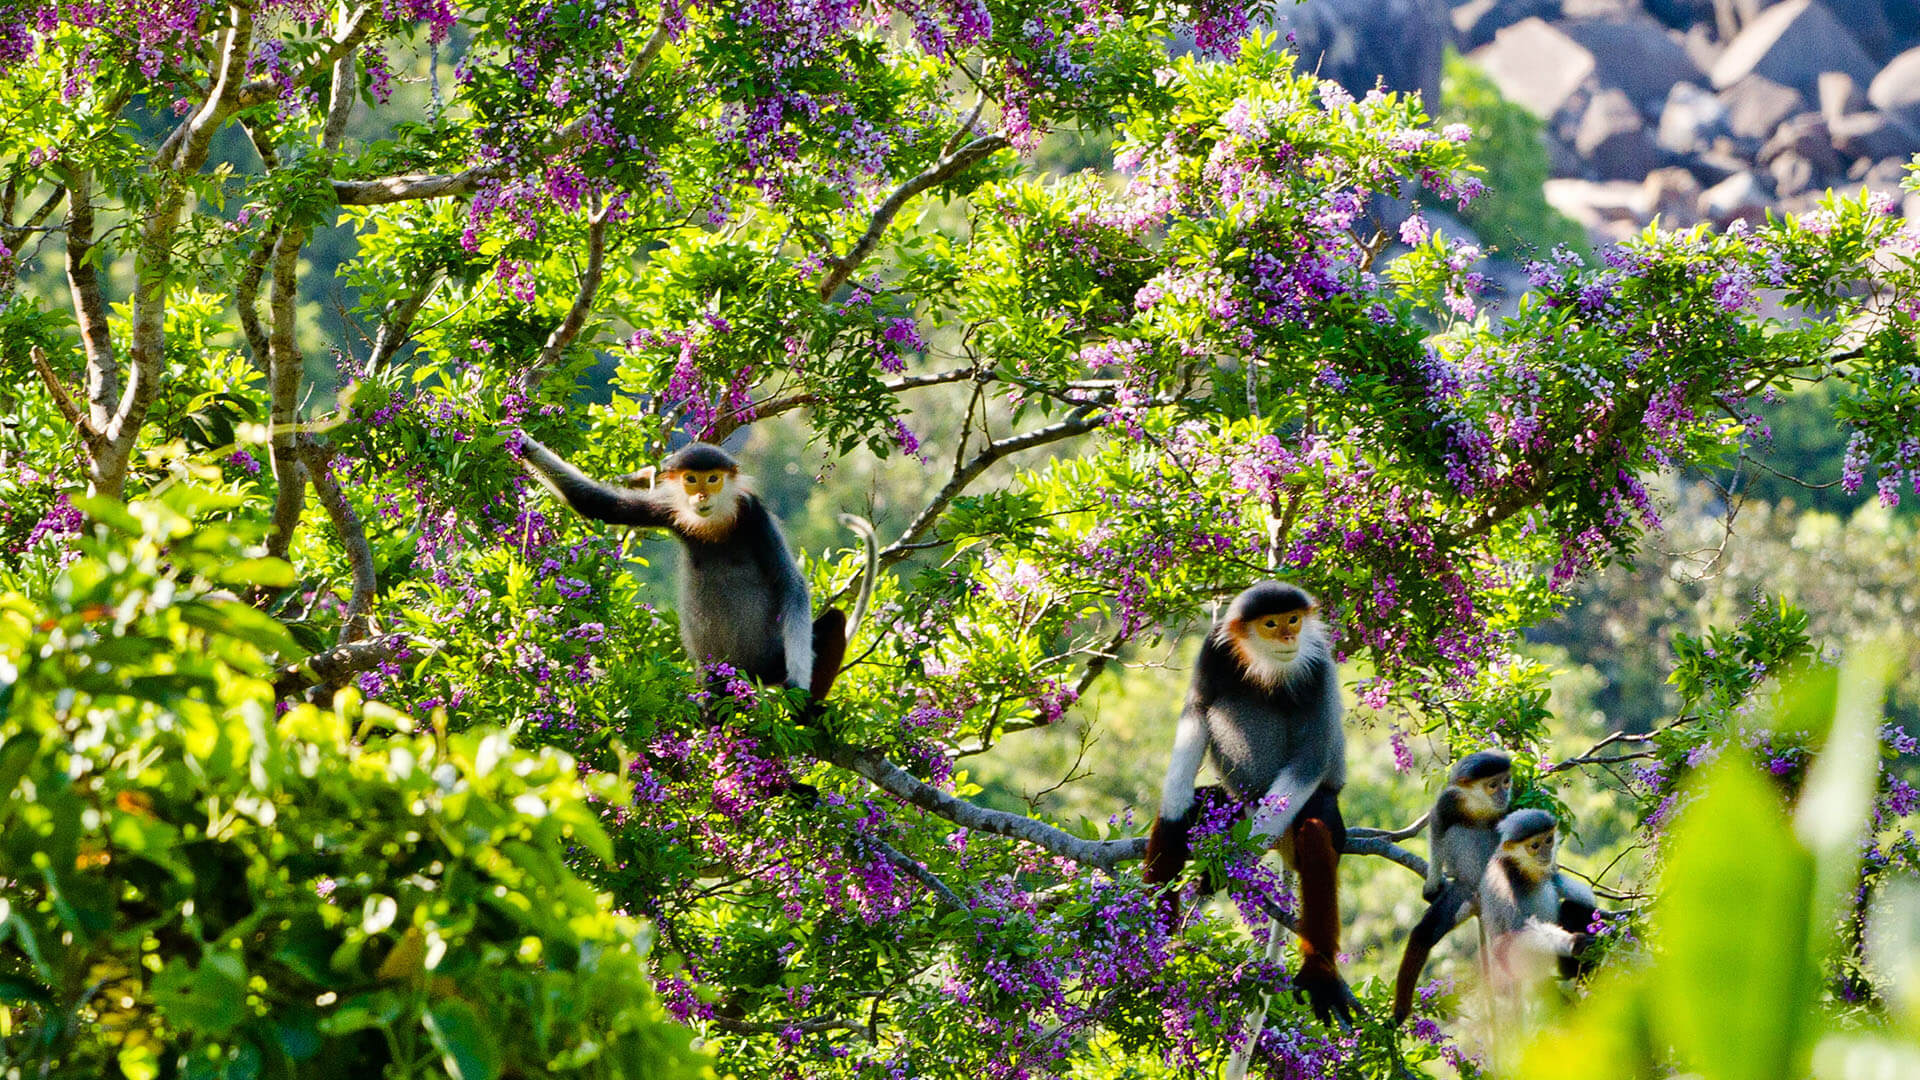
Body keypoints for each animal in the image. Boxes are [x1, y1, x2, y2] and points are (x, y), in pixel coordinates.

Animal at [514, 434, 875, 700]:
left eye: (713, 479)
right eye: (691, 480)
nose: (701, 495)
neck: (714, 524)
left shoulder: (754, 515)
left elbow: (792, 585)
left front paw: (798, 683)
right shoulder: (668, 509)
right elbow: (597, 503)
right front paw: (523, 440)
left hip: (772, 661)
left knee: (834, 620)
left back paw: (810, 715)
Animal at [1144, 581, 1358, 1030]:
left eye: (1293, 619)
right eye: (1271, 624)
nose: (1289, 638)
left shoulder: (1318, 669)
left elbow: (1310, 760)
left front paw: (1226, 863)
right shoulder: (1213, 651)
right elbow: (1196, 713)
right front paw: (1174, 820)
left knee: (1315, 832)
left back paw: (1320, 972)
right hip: (1234, 804)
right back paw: (1152, 928)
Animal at [1390, 749, 1513, 1024]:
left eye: (1506, 782)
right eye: (1493, 785)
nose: (1504, 794)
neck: (1478, 804)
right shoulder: (1449, 800)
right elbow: (1438, 828)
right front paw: (1432, 887)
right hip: (1462, 892)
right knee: (1423, 934)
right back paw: (1399, 1014)